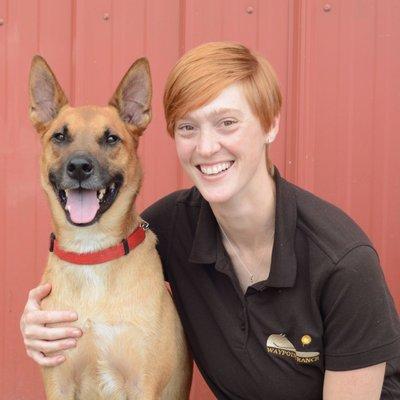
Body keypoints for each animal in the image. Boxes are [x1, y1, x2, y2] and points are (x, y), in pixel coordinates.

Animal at [28, 54, 192, 398]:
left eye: (111, 138)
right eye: (59, 136)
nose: (79, 167)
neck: (91, 252)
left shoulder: (142, 383)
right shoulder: (59, 382)